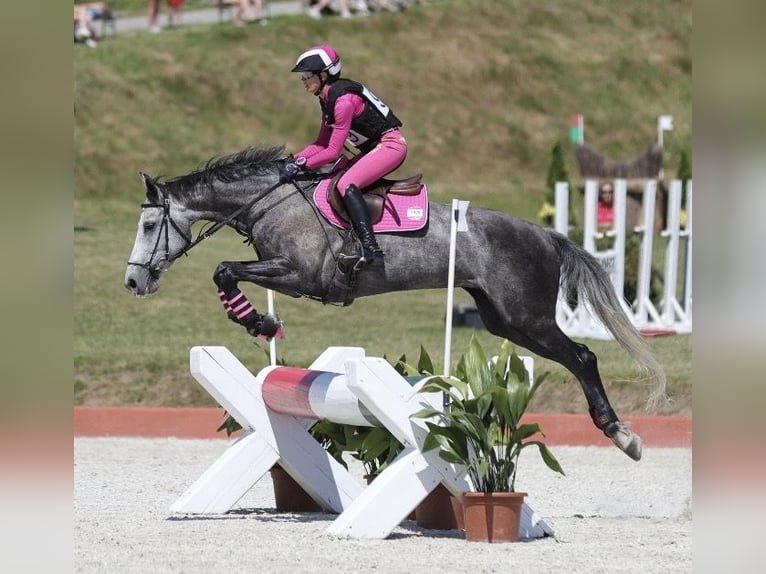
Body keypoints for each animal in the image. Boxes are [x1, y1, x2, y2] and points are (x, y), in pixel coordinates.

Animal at [124, 145, 666, 461]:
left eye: (149, 225)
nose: (133, 282)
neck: (268, 201)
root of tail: (547, 234)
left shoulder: (299, 274)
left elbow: (222, 269)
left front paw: (258, 321)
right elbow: (225, 271)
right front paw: (259, 321)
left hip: (527, 317)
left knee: (583, 356)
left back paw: (622, 434)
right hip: (504, 321)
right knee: (572, 355)